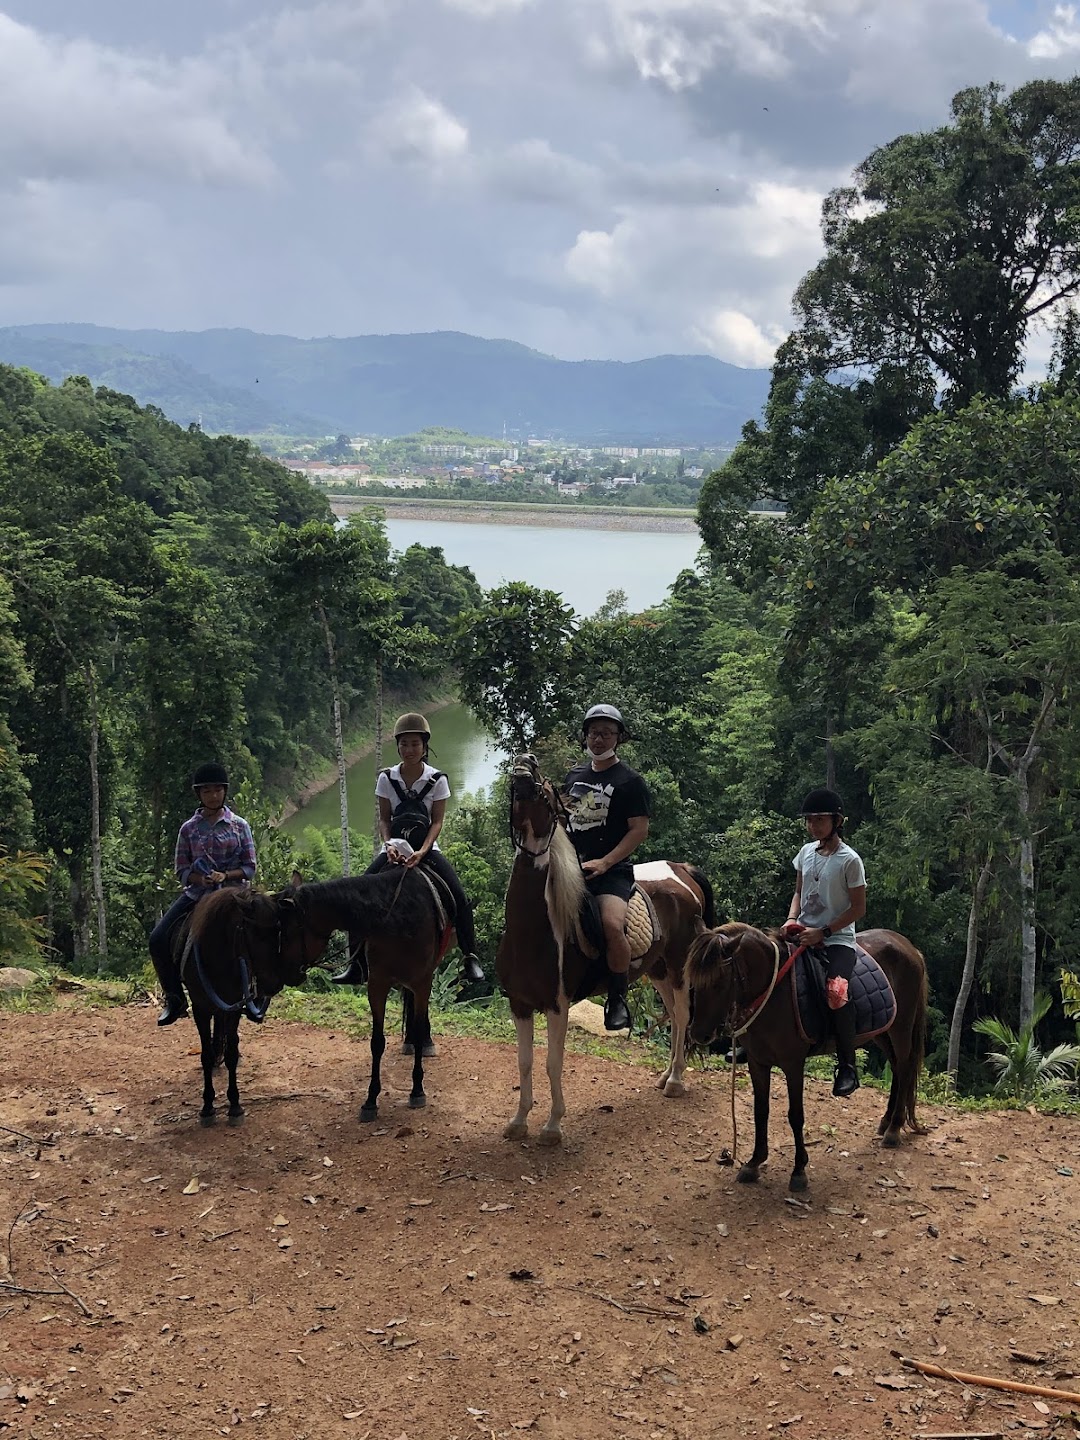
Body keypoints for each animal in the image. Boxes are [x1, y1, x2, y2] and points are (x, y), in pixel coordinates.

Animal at [498, 754, 720, 1146]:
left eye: (544, 793)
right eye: (517, 788)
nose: (526, 761)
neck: (538, 931)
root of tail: (681, 870)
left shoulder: (557, 1006)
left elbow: (552, 1062)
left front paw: (553, 1126)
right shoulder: (520, 1005)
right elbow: (524, 1062)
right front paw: (519, 1120)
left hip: (679, 967)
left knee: (681, 1015)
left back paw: (676, 1081)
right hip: (657, 970)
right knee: (674, 1016)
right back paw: (666, 1076)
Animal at [688, 921, 927, 1192]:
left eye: (719, 982)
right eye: (693, 980)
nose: (699, 1034)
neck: (773, 991)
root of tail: (909, 947)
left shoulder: (793, 1064)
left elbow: (796, 1115)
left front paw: (799, 1170)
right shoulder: (758, 1063)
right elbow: (761, 1111)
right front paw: (754, 1163)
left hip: (901, 1026)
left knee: (905, 1068)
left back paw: (894, 1129)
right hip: (883, 1030)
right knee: (897, 1067)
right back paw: (886, 1121)